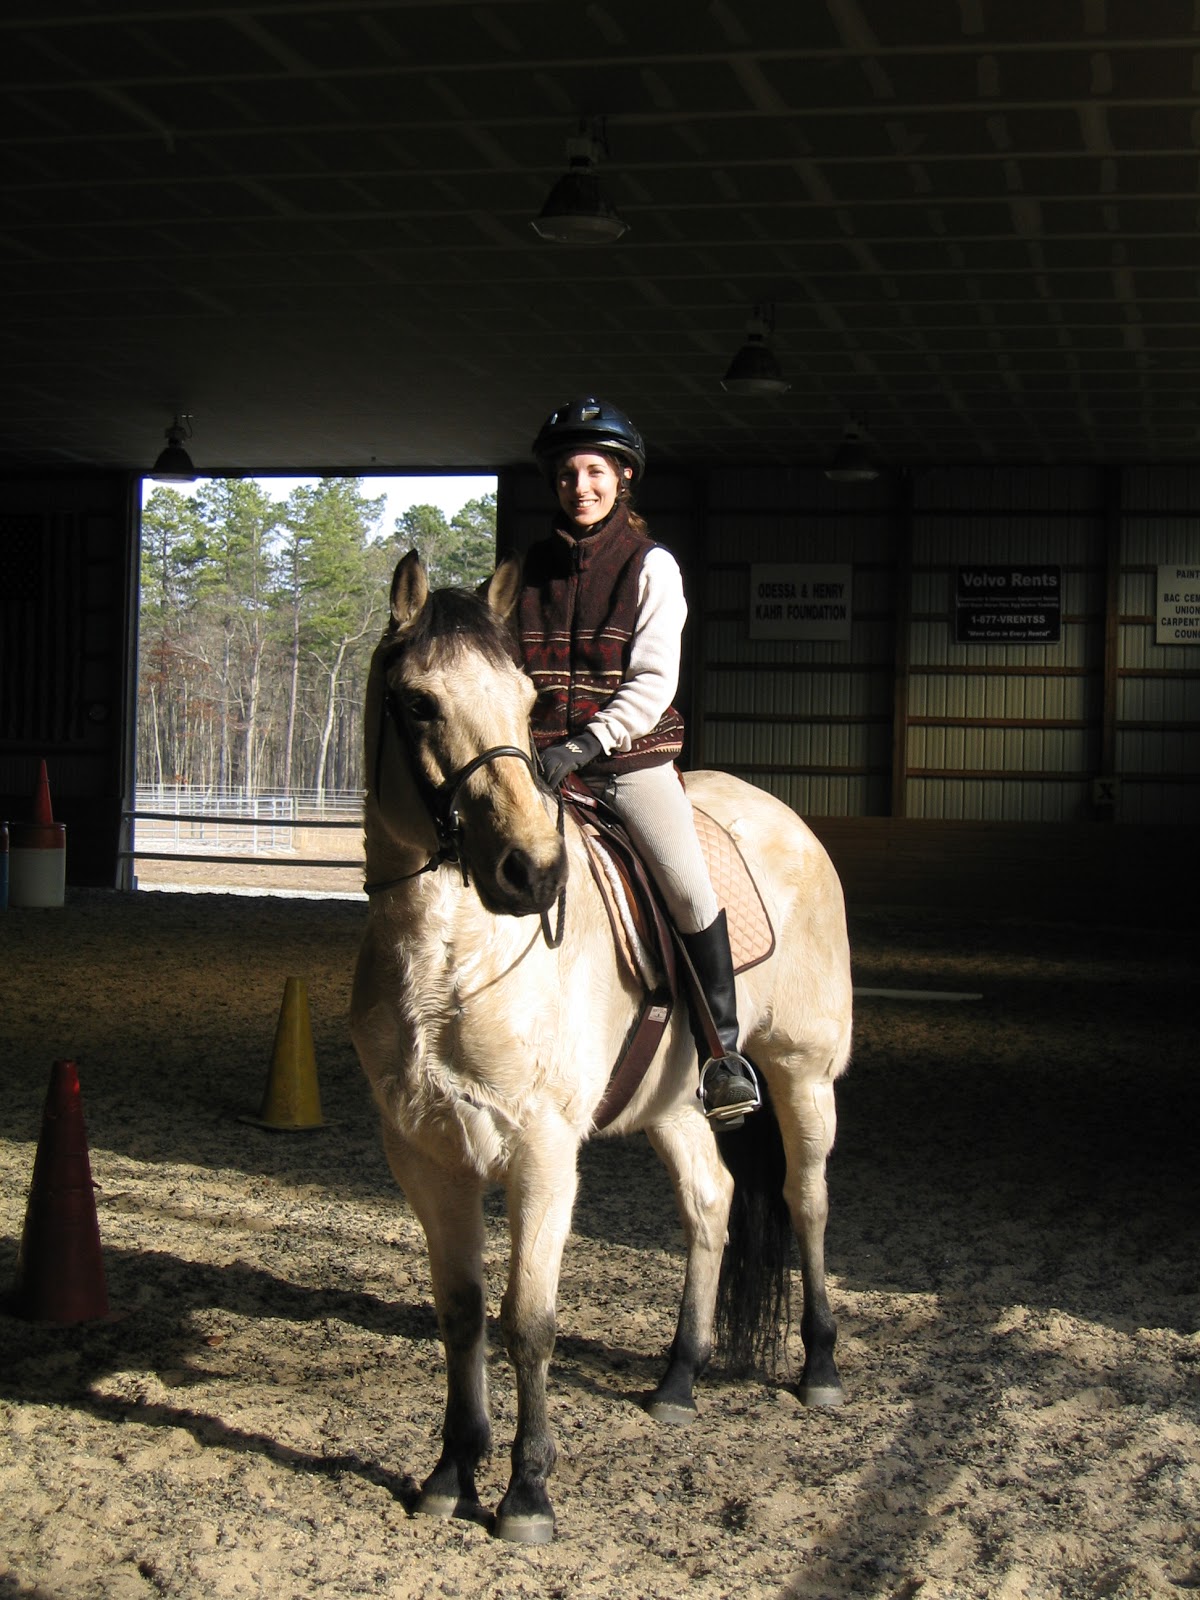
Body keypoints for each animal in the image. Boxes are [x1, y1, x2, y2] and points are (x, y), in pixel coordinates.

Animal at [349, 550, 853, 1544]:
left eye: (525, 699)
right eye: (418, 702)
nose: (530, 873)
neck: (451, 961)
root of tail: (785, 816)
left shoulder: (543, 1151)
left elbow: (528, 1320)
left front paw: (527, 1494)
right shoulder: (423, 1153)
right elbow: (461, 1313)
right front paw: (449, 1473)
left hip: (803, 1074)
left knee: (806, 1201)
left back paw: (817, 1366)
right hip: (673, 1101)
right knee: (712, 1201)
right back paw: (680, 1378)